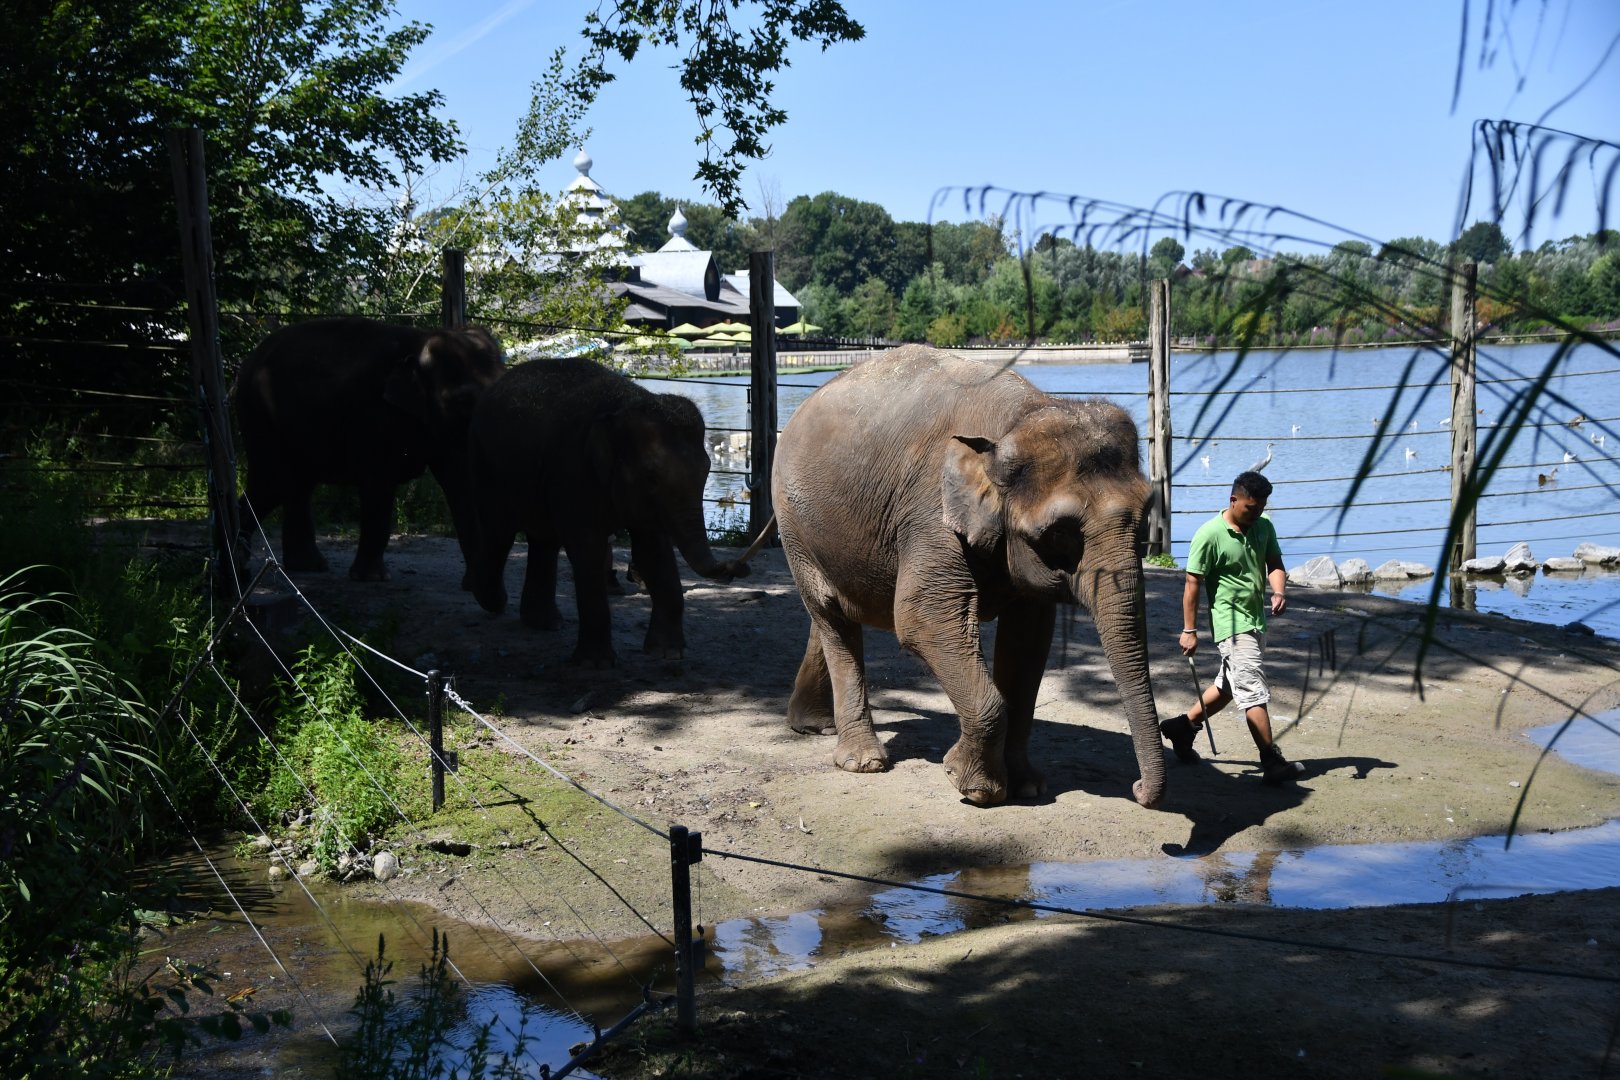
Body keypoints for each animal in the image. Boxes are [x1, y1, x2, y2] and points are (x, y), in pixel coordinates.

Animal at [232, 317, 506, 582]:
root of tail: (248, 362)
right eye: (463, 401)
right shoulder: (375, 417)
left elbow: (460, 481)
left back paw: (306, 567)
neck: (421, 341)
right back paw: (240, 566)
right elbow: (379, 485)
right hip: (259, 417)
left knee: (295, 486)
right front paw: (373, 578)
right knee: (273, 482)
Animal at [466, 356, 751, 666]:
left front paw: (667, 653)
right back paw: (492, 599)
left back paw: (545, 623)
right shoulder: (573, 468)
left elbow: (653, 549)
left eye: (707, 470)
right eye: (651, 477)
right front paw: (595, 664)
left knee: (544, 540)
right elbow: (587, 548)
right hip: (486, 465)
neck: (624, 404)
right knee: (499, 530)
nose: (739, 567)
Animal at [771, 344, 1163, 809]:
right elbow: (922, 619)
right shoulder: (929, 514)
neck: (1017, 420)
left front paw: (1027, 786)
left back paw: (813, 726)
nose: (1138, 790)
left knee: (830, 613)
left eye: (1146, 517)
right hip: (793, 521)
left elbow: (1029, 638)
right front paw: (975, 787)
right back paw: (863, 762)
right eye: (1060, 533)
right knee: (831, 614)